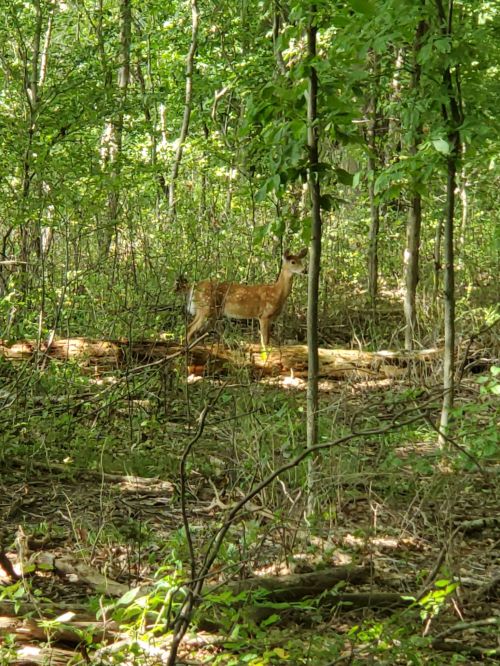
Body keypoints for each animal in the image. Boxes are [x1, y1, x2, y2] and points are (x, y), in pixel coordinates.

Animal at [179, 248, 308, 347]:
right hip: (205, 307)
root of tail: (193, 286)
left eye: (301, 260)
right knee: (190, 328)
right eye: (293, 262)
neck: (276, 292)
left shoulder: (270, 318)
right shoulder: (264, 315)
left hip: (210, 312)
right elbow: (265, 342)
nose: (305, 270)